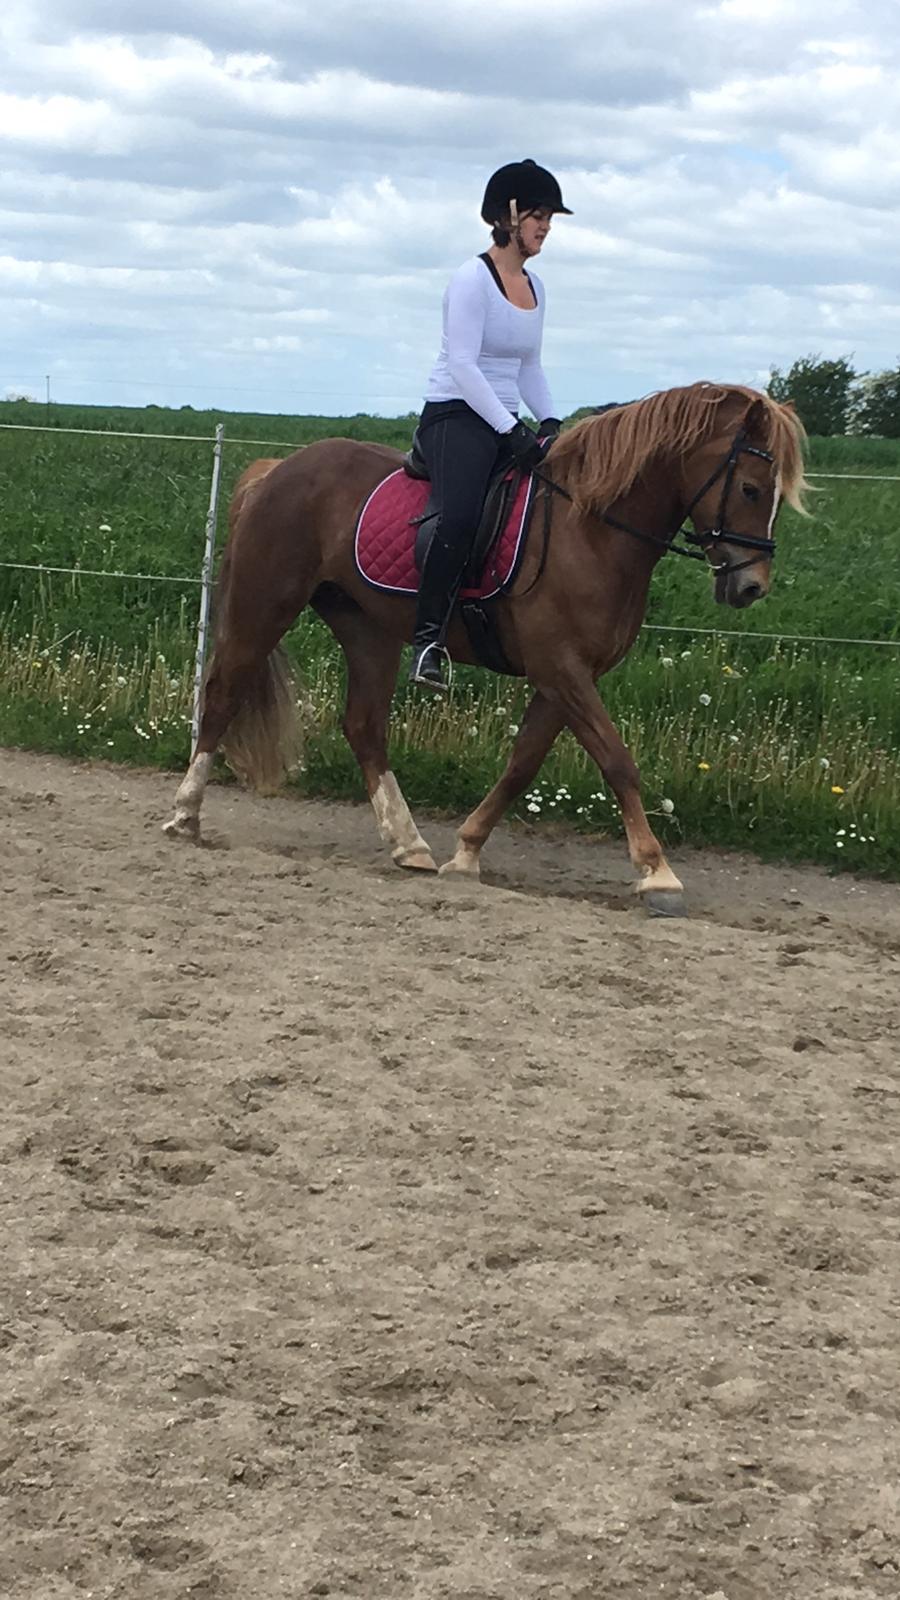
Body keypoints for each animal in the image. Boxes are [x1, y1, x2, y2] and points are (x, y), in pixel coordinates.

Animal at [162, 379, 807, 921]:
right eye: (750, 488)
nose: (751, 587)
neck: (591, 529)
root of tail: (279, 468)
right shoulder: (563, 670)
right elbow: (617, 761)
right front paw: (657, 873)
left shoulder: (564, 677)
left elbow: (523, 764)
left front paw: (466, 853)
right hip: (265, 604)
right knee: (222, 695)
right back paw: (185, 814)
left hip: (367, 628)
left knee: (364, 726)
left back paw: (409, 844)